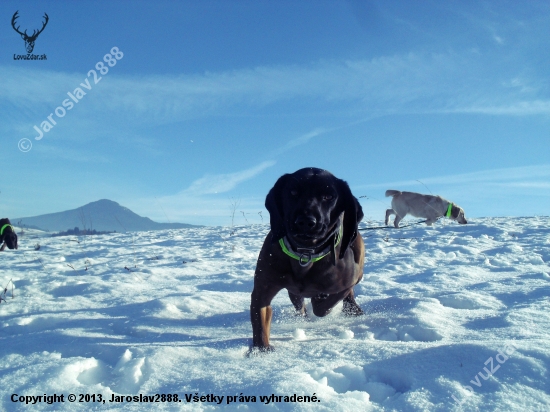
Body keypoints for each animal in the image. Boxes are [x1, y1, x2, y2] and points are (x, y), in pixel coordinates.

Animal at [251, 167, 366, 350]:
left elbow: (326, 304)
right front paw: (261, 350)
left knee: (348, 295)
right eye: (293, 192)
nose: (306, 221)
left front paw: (321, 299)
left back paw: (352, 309)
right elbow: (260, 320)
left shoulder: (348, 281)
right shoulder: (262, 289)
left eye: (329, 196)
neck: (305, 252)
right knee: (299, 305)